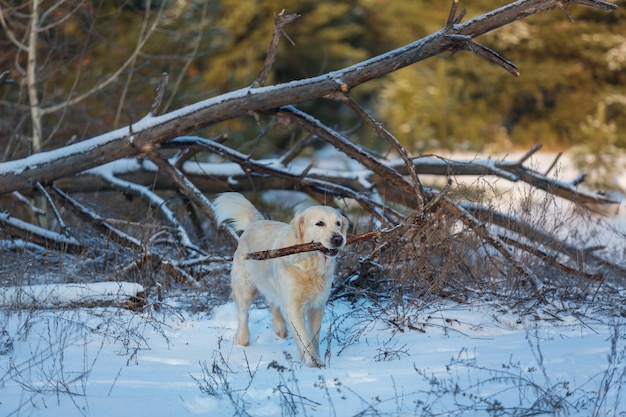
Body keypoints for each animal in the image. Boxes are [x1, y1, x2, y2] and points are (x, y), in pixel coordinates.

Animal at [213, 191, 348, 364]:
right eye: (320, 223)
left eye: (338, 223)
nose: (338, 239)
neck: (309, 265)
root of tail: (256, 222)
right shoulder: (293, 306)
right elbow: (304, 337)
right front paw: (312, 363)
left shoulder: (318, 305)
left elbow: (314, 337)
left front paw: (317, 359)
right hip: (245, 287)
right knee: (243, 312)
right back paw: (242, 339)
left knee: (272, 300)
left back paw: (280, 328)